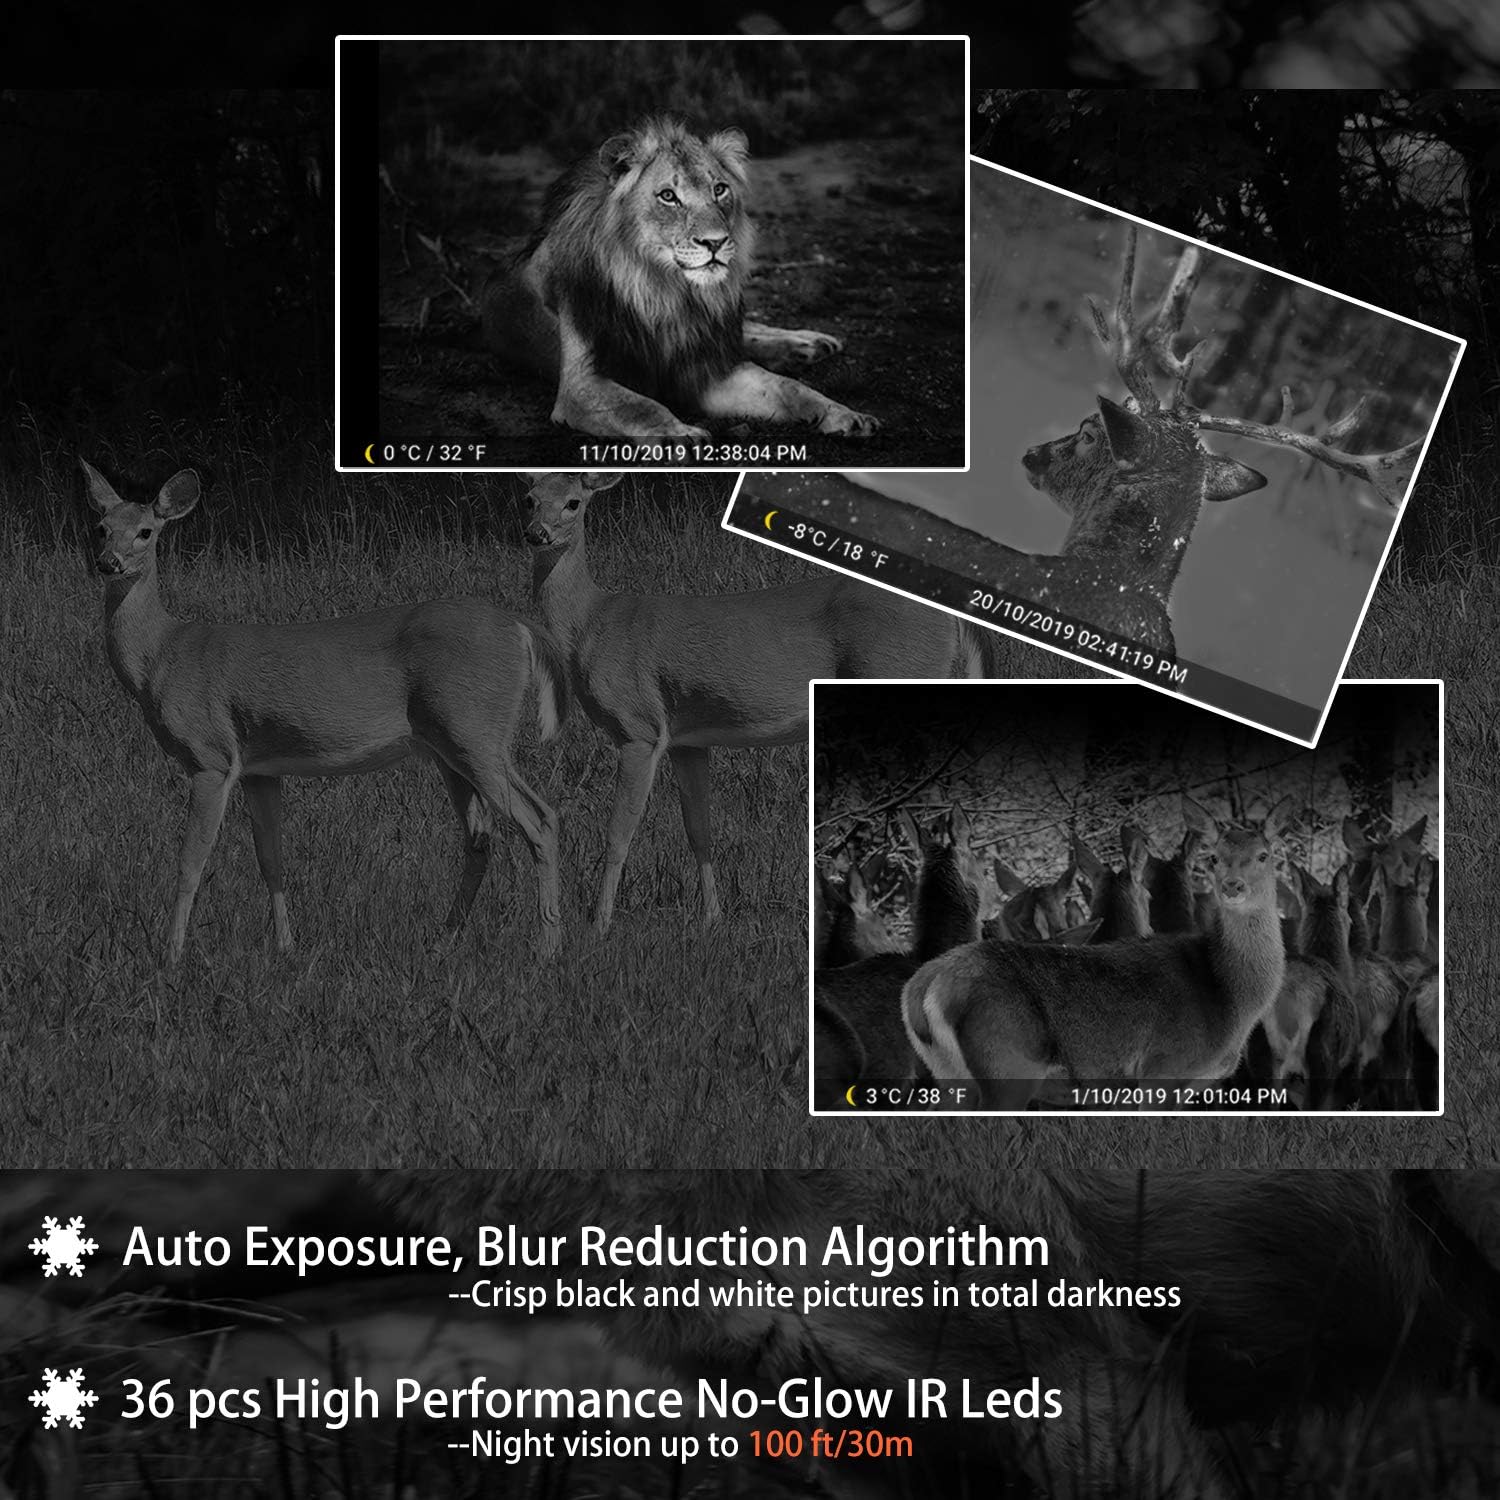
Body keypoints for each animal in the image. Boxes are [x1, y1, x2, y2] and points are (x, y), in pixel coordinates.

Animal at [83, 459, 563, 964]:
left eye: (145, 531)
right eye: (100, 527)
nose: (108, 562)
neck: (162, 655)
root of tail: (520, 628)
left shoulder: (210, 756)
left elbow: (190, 861)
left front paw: (170, 953)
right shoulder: (259, 768)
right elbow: (270, 859)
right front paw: (286, 945)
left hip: (474, 729)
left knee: (540, 820)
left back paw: (548, 947)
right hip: (453, 745)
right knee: (480, 836)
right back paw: (444, 938)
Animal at [522, 470, 1002, 933]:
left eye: (573, 502)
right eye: (529, 498)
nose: (536, 533)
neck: (591, 624)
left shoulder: (638, 727)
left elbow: (619, 832)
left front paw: (598, 925)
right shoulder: (686, 739)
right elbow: (699, 829)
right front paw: (712, 920)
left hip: (897, 670)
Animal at [904, 794, 1292, 1109]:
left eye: (1264, 855)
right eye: (1214, 858)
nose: (1233, 886)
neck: (1229, 994)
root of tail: (921, 987)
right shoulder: (1162, 1068)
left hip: (948, 1075)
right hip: (1005, 1062)